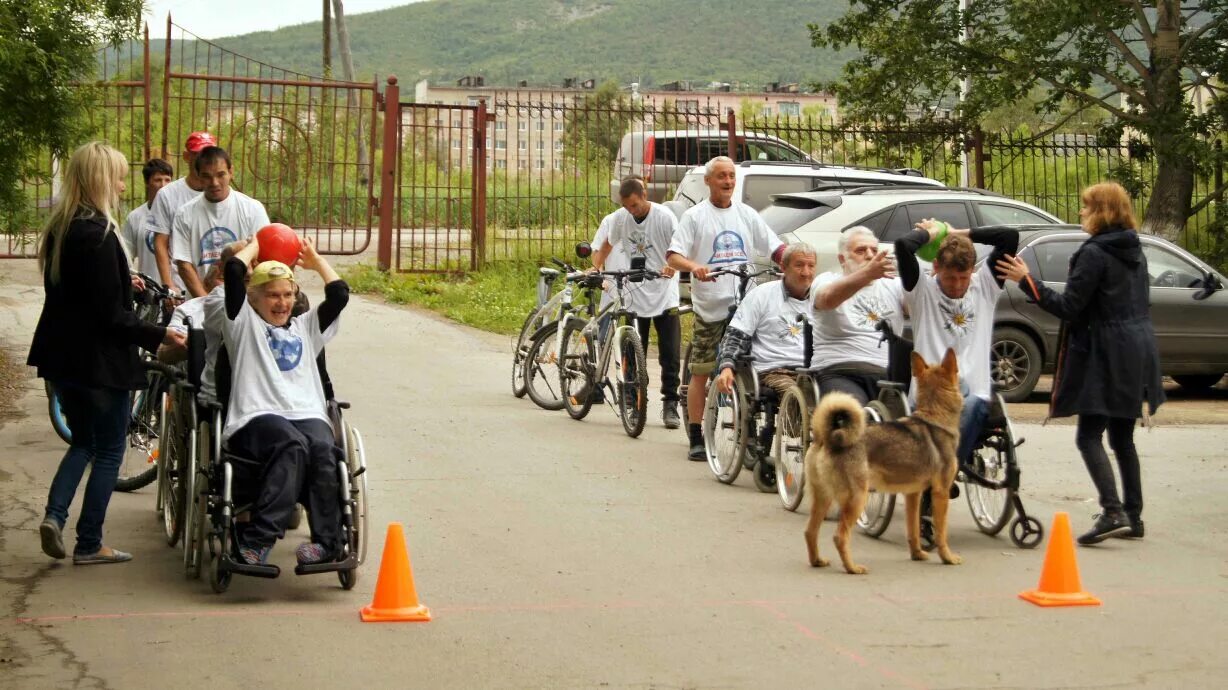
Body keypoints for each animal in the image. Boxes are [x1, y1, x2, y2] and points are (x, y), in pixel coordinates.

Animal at [805, 346, 967, 572]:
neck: (934, 418)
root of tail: (828, 437)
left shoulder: (913, 494)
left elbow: (913, 530)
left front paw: (917, 554)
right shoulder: (941, 492)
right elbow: (941, 533)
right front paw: (948, 557)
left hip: (824, 497)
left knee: (810, 532)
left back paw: (817, 561)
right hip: (857, 498)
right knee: (839, 537)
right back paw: (852, 568)